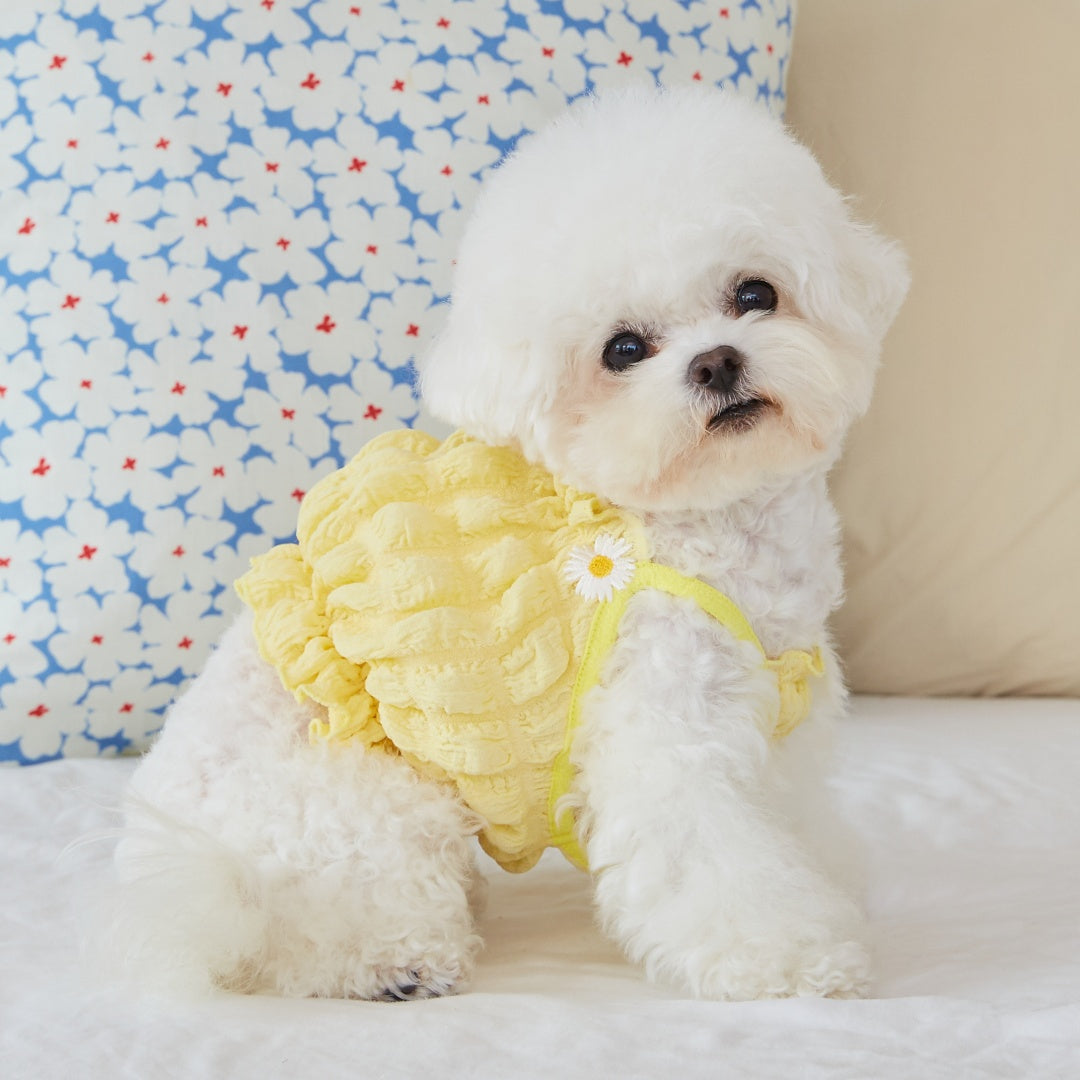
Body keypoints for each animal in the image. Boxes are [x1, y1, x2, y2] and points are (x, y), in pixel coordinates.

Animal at [113, 86, 911, 1002]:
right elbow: (713, 865)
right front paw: (791, 956)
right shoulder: (666, 731)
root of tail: (164, 862)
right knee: (307, 936)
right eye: (623, 350)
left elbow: (793, 828)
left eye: (755, 294)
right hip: (368, 805)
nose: (716, 362)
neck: (693, 528)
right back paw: (395, 962)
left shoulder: (778, 729)